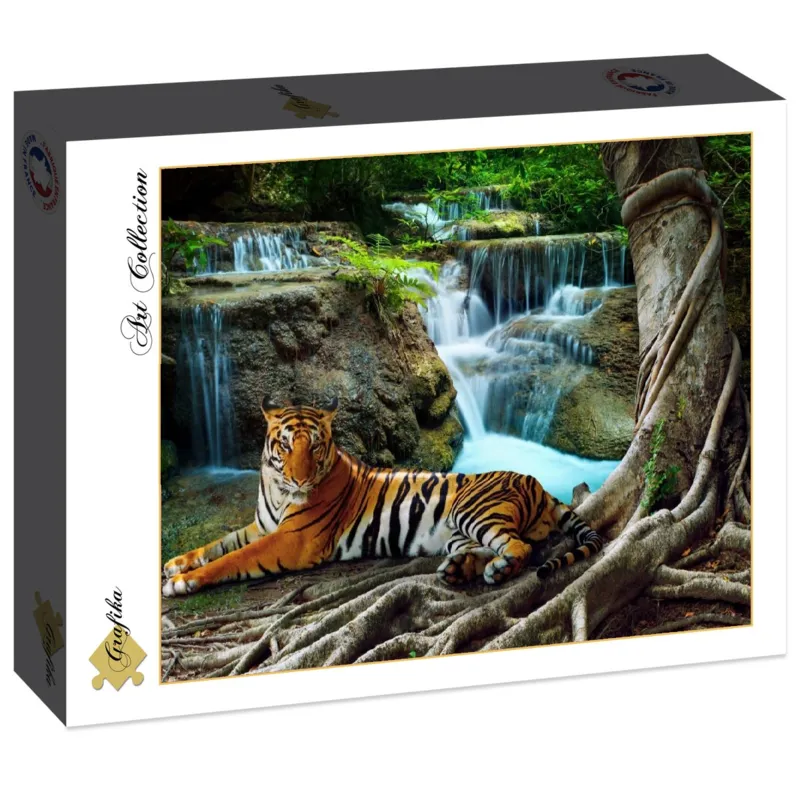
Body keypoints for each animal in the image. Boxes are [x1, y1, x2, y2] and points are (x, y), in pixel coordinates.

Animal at [162, 398, 604, 597]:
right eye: (285, 445)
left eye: (314, 446)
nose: (300, 478)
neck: (276, 488)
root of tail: (539, 484)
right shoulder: (262, 525)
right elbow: (219, 544)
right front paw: (175, 563)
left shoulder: (292, 539)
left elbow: (233, 558)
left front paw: (182, 582)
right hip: (458, 532)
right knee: (489, 548)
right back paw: (458, 570)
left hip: (474, 512)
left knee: (520, 547)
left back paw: (497, 570)